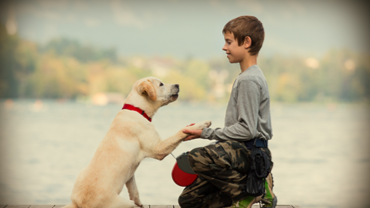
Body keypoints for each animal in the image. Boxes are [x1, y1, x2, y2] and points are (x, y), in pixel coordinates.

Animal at [63, 77, 211, 208]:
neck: (138, 110)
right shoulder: (158, 149)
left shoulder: (130, 174)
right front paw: (201, 124)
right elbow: (179, 132)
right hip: (123, 204)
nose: (178, 85)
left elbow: (134, 191)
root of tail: (79, 203)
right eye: (161, 84)